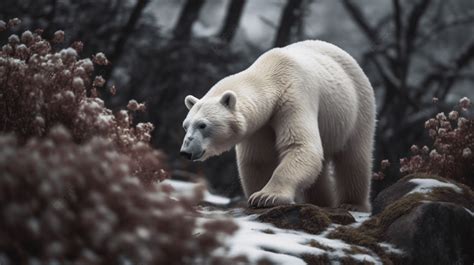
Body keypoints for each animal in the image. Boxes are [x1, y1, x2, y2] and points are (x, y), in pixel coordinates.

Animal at [180, 40, 376, 211]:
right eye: (185, 126)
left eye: (202, 125)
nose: (185, 152)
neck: (272, 73)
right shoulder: (260, 125)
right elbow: (258, 159)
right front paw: (255, 196)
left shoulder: (294, 97)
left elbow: (299, 145)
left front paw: (266, 197)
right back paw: (321, 202)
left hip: (358, 108)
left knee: (354, 158)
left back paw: (352, 204)